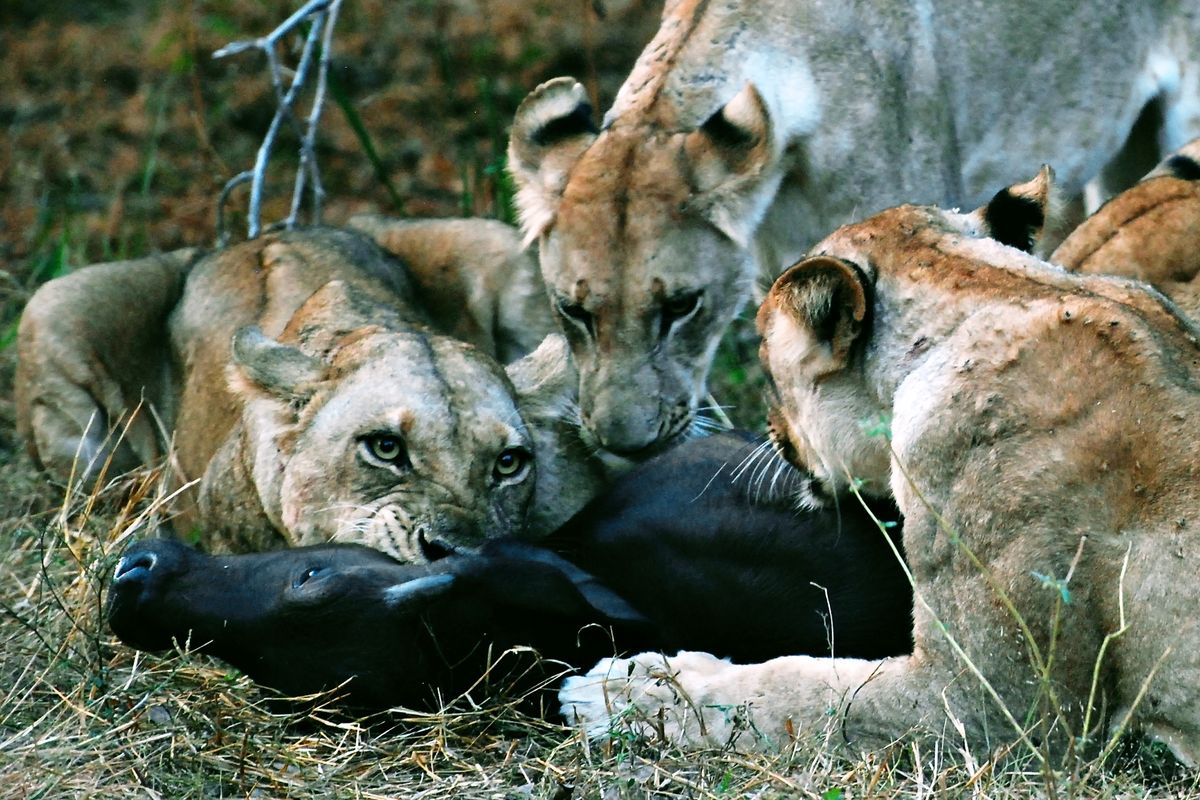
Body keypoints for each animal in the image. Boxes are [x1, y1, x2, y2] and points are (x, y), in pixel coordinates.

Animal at [21, 221, 609, 554]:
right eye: (385, 448)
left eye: (508, 463)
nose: (462, 553)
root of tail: (262, 233)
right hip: (53, 305)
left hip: (503, 242)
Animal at [559, 170, 1200, 767]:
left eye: (765, 357)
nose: (767, 428)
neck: (1005, 294)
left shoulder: (1001, 709)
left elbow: (800, 691)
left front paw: (623, 691)